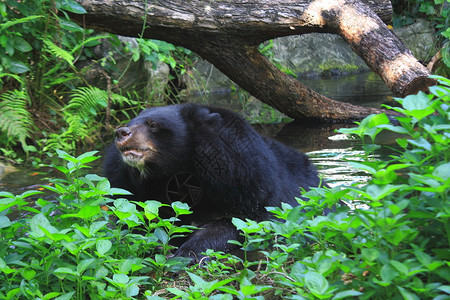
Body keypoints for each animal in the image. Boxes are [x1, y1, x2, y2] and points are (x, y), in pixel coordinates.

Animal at [104, 103, 324, 260]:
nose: (121, 132)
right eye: (131, 122)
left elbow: (240, 224)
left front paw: (186, 251)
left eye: (153, 125)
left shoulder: (244, 180)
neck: (174, 172)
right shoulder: (130, 185)